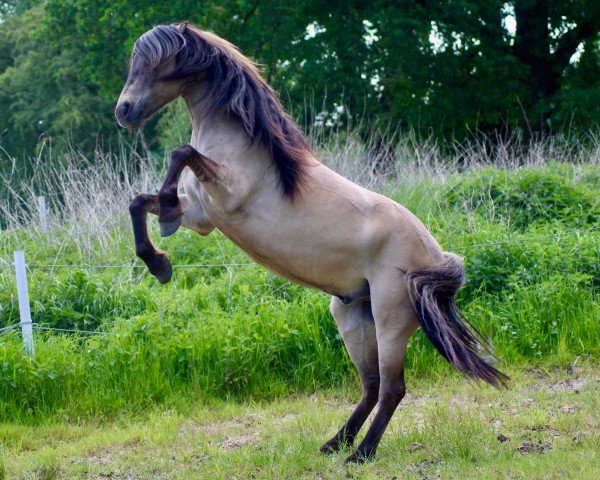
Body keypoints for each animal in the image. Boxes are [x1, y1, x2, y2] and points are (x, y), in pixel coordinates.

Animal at [113, 23, 506, 464]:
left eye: (155, 63)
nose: (123, 112)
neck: (244, 146)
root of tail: (437, 257)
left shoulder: (227, 196)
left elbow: (180, 152)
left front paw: (163, 220)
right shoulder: (201, 217)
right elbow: (138, 202)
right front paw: (158, 261)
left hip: (390, 318)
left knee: (392, 389)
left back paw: (360, 455)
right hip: (352, 316)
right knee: (371, 386)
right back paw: (334, 444)